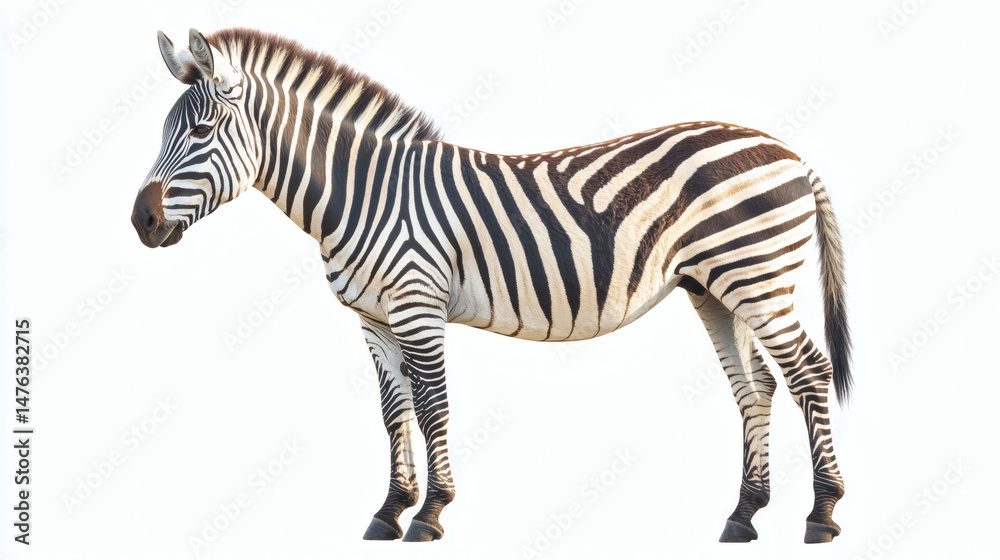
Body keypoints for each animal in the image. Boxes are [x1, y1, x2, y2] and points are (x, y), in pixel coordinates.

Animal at [132, 27, 853, 544]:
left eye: (200, 131)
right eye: (163, 130)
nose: (141, 221)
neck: (363, 195)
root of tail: (791, 152)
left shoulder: (417, 304)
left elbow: (433, 406)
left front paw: (431, 513)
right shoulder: (372, 318)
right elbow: (392, 411)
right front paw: (389, 510)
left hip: (758, 278)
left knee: (809, 373)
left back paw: (822, 514)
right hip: (717, 288)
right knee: (755, 389)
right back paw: (743, 516)